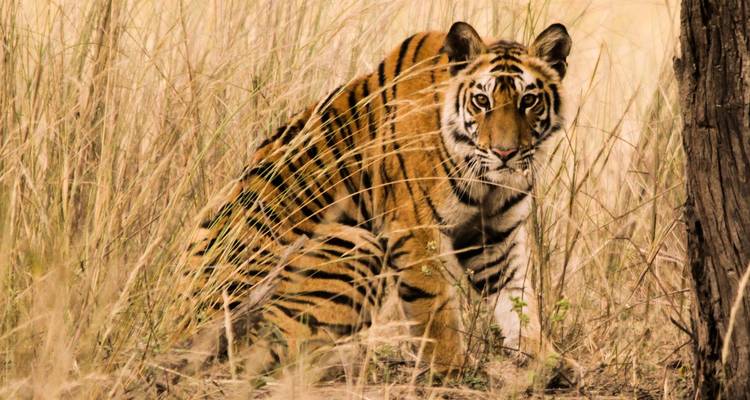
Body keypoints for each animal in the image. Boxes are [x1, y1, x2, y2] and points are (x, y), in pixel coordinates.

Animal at [166, 21, 572, 384]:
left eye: (528, 100)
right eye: (481, 100)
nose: (505, 153)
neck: (489, 178)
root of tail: (179, 330)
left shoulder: (496, 238)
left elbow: (518, 300)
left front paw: (546, 360)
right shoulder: (415, 230)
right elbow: (437, 307)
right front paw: (450, 368)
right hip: (353, 243)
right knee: (266, 354)